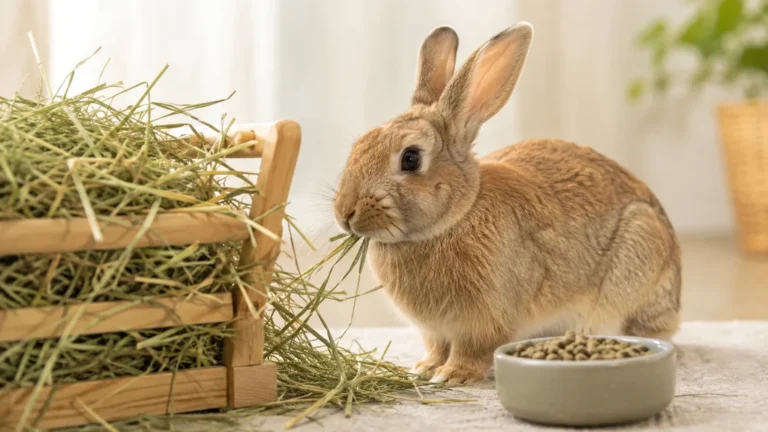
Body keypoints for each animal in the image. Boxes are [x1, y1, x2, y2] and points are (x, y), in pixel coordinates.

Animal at [332, 22, 681, 384]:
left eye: (410, 159)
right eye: (359, 144)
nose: (345, 213)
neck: (458, 214)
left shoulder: (483, 322)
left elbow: (472, 350)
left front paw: (453, 375)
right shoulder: (435, 332)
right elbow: (436, 347)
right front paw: (425, 367)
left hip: (637, 256)